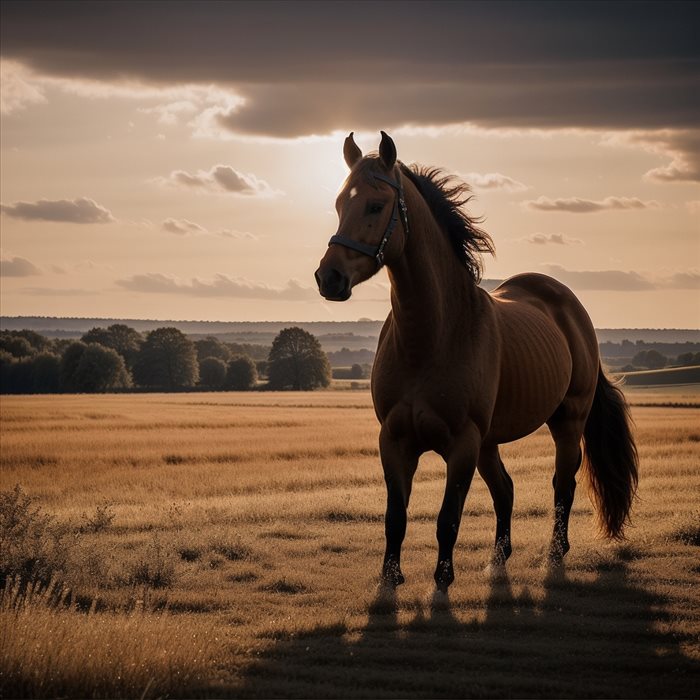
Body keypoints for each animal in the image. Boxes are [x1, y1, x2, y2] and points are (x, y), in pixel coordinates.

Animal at [316, 131, 640, 592]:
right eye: (341, 204)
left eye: (375, 205)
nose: (329, 278)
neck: (431, 337)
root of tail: (565, 302)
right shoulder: (395, 441)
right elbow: (395, 518)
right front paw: (390, 578)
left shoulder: (462, 444)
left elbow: (447, 519)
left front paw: (442, 579)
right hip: (490, 442)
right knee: (506, 489)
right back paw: (498, 560)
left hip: (566, 422)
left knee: (563, 485)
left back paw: (555, 554)